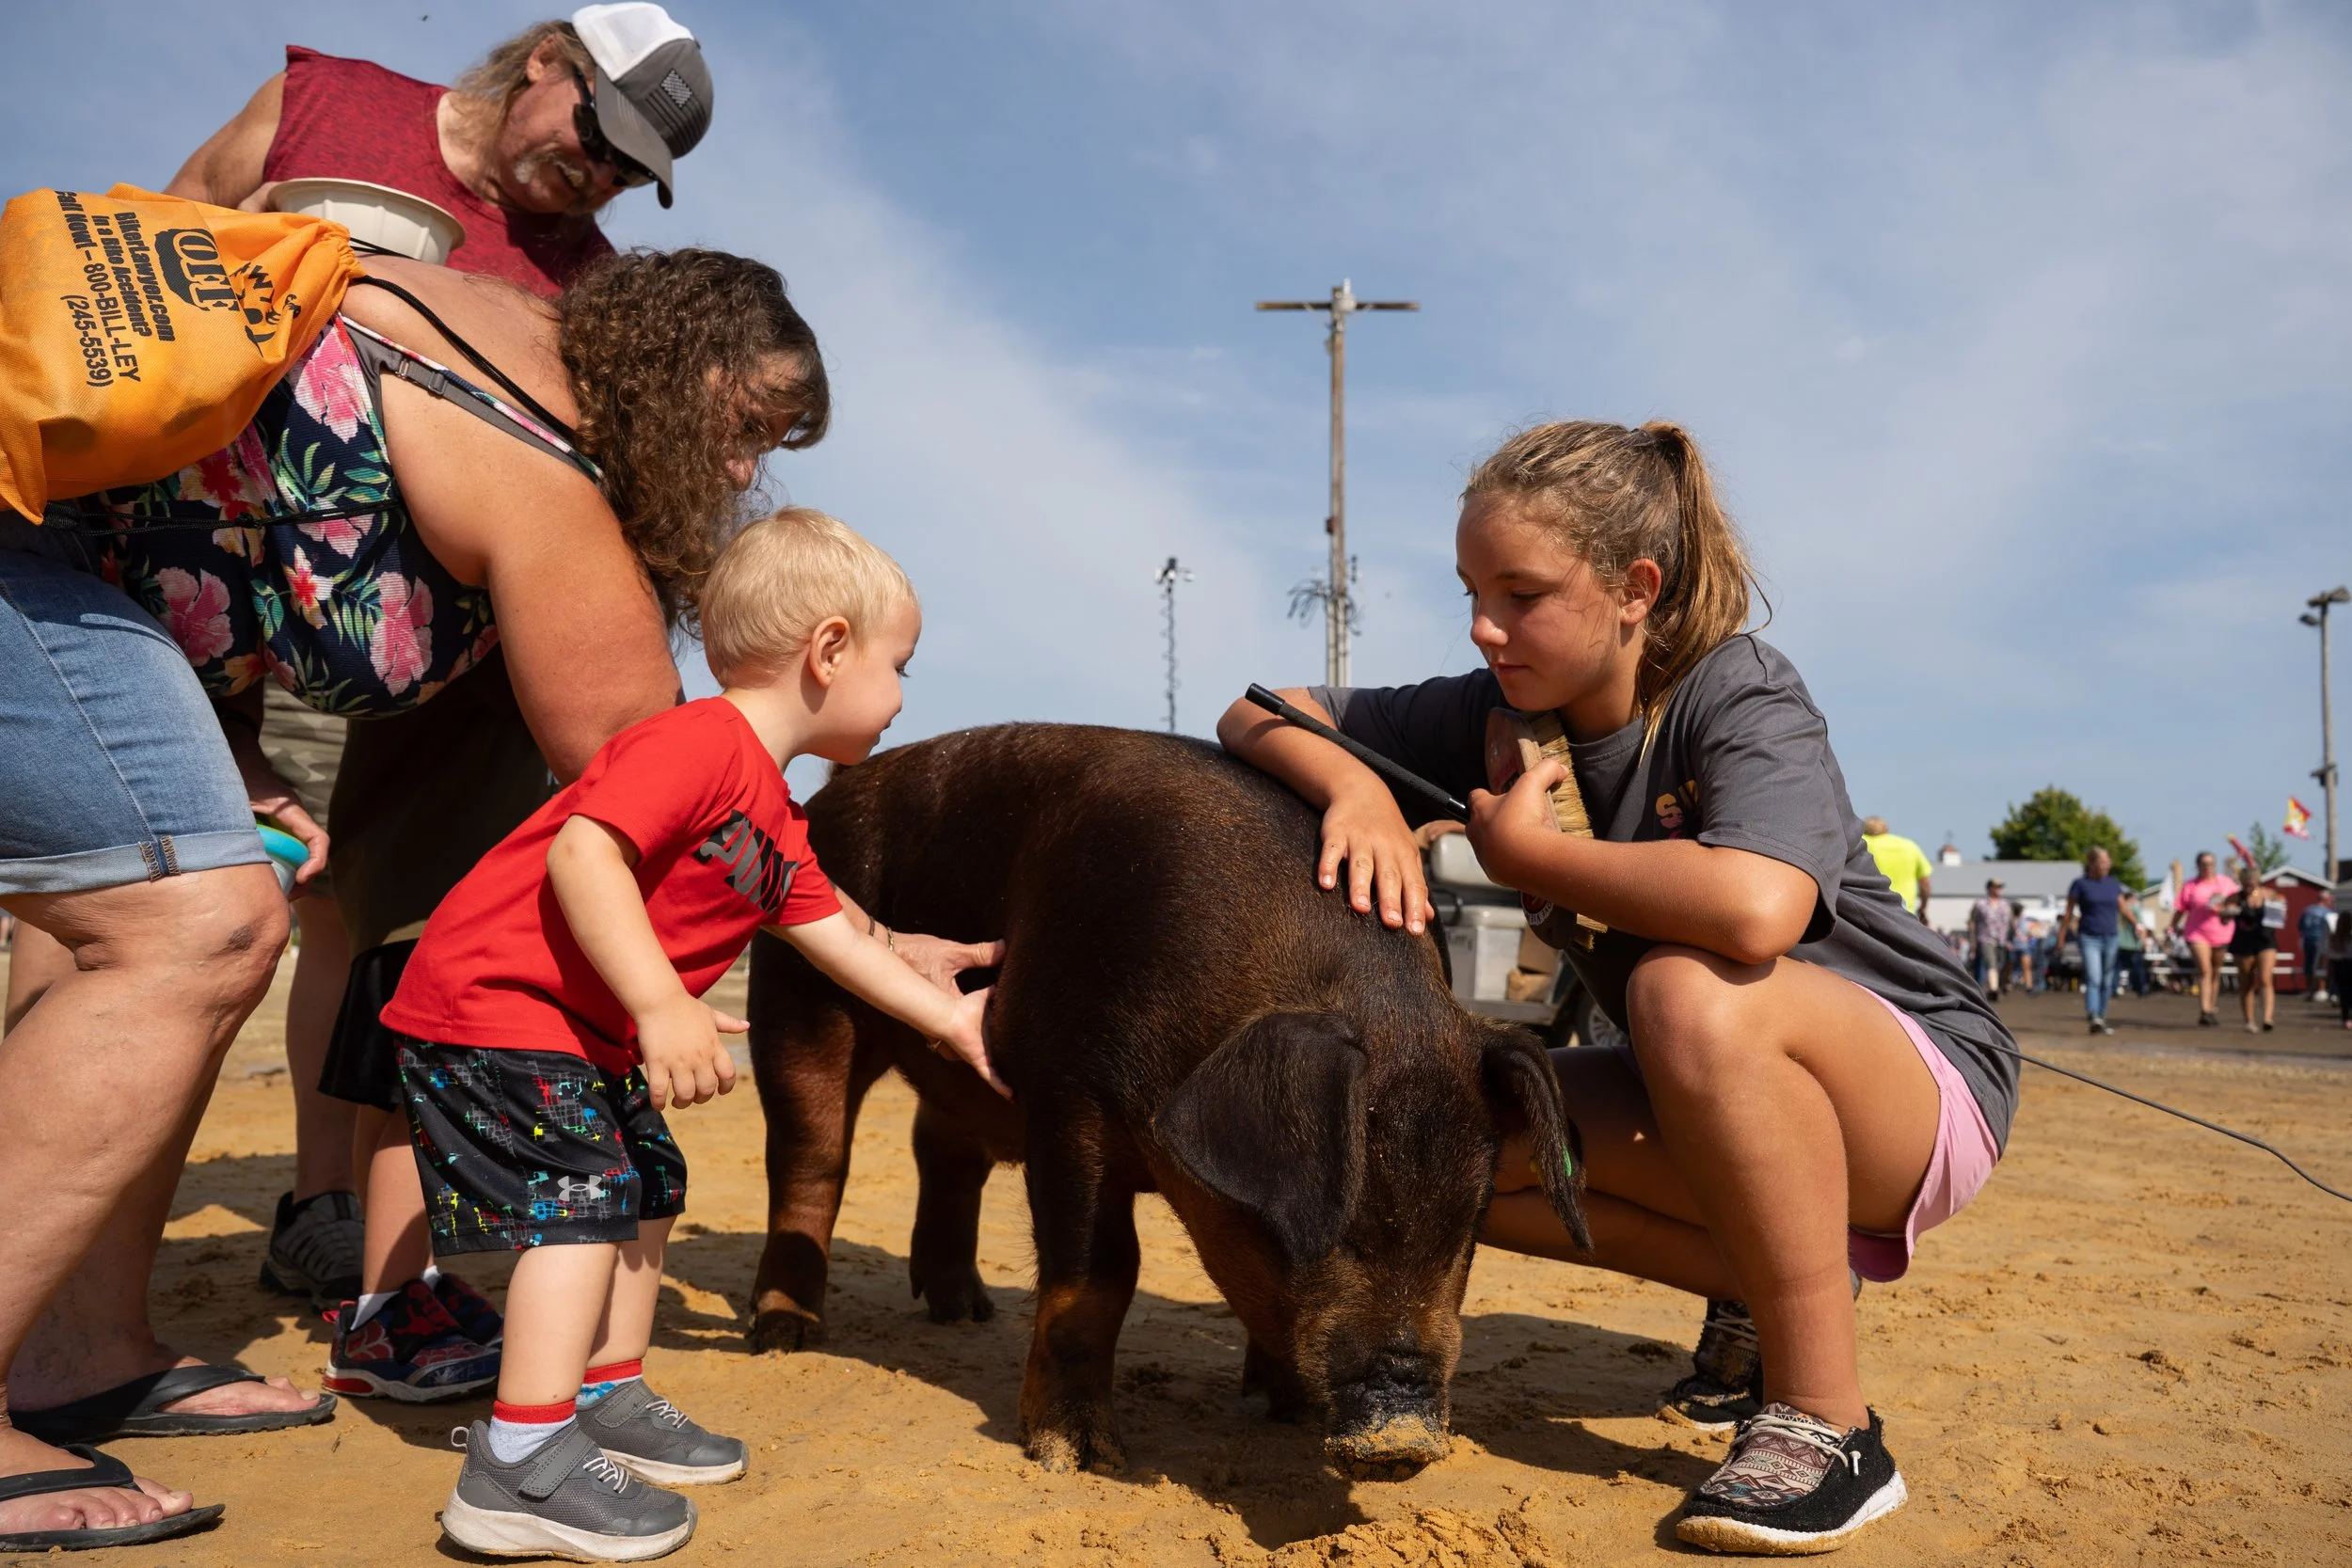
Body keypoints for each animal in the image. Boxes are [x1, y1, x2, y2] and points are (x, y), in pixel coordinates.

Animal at [743, 723, 1587, 1477]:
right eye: (1343, 1225)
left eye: (1468, 1225)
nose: (1404, 1435)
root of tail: (831, 790)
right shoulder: (1066, 1091)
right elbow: (1101, 1271)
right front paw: (1077, 1456)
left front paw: (1283, 1407)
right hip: (796, 987)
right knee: (811, 1156)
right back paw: (783, 1334)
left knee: (943, 1150)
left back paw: (965, 1308)